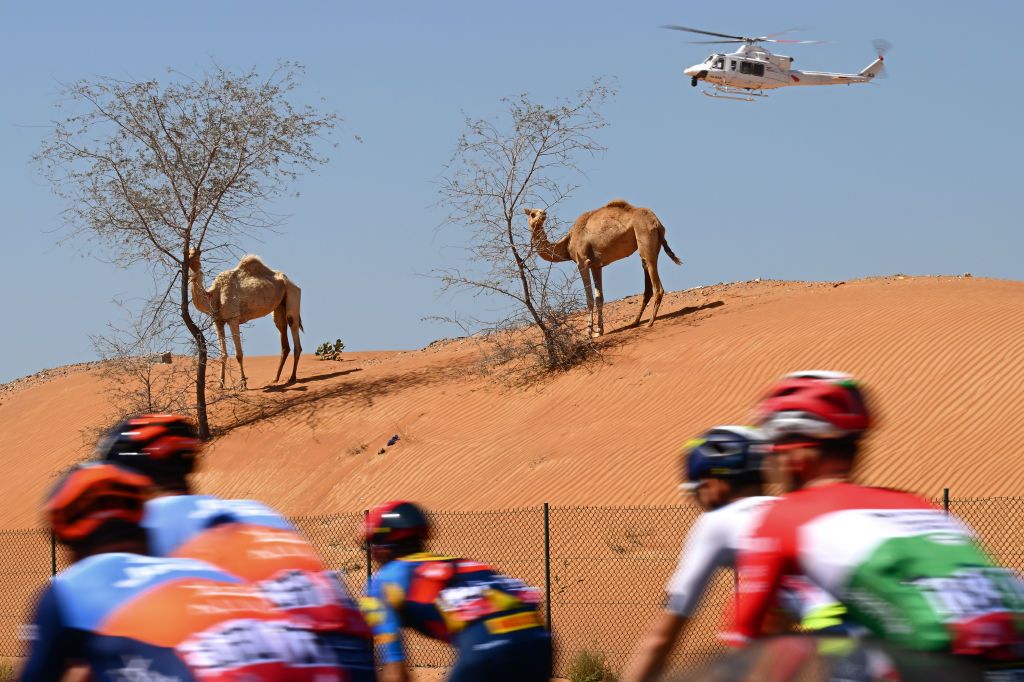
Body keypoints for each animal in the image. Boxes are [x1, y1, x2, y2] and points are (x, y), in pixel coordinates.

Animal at [187, 249, 303, 390]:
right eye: (186, 252)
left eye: (198, 253)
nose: (190, 260)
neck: (215, 294)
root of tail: (292, 282)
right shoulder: (217, 321)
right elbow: (223, 354)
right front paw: (220, 384)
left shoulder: (233, 318)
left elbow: (239, 354)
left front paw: (243, 384)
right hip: (279, 306)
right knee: (282, 333)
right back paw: (276, 379)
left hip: (292, 293)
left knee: (293, 325)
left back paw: (292, 378)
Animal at [525, 199, 682, 337]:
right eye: (532, 214)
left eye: (538, 212)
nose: (543, 214)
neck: (567, 244)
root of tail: (657, 223)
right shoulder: (596, 265)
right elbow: (599, 297)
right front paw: (599, 331)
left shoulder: (582, 262)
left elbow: (589, 297)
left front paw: (588, 332)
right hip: (650, 245)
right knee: (647, 282)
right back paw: (635, 322)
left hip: (645, 238)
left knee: (657, 284)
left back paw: (649, 323)